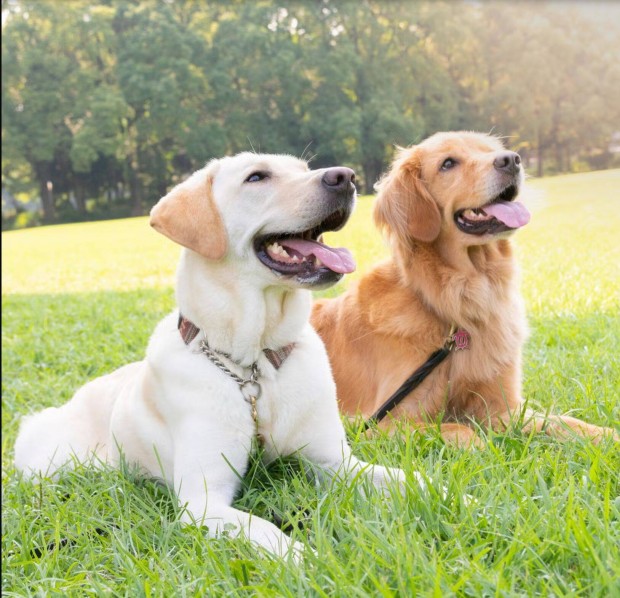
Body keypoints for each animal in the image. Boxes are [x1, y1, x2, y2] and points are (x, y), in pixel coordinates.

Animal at [13, 151, 406, 564]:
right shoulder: (203, 501)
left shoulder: (337, 463)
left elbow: (407, 479)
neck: (254, 366)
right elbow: (265, 530)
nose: (346, 177)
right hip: (50, 464)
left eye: (303, 168)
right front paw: (313, 560)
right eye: (257, 177)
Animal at [312, 132, 616, 450]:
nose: (512, 159)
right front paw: (484, 448)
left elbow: (561, 422)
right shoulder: (377, 423)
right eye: (448, 163)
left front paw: (604, 435)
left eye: (489, 150)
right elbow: (458, 430)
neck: (459, 303)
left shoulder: (503, 407)